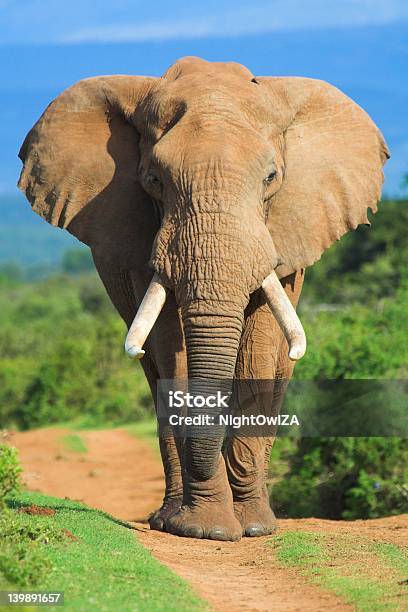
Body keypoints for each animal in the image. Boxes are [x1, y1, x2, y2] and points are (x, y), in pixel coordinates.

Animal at [18, 56, 388, 540]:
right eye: (153, 180)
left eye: (271, 177)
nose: (237, 524)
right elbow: (169, 347)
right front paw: (204, 529)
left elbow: (259, 347)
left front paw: (250, 527)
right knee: (154, 371)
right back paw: (167, 519)